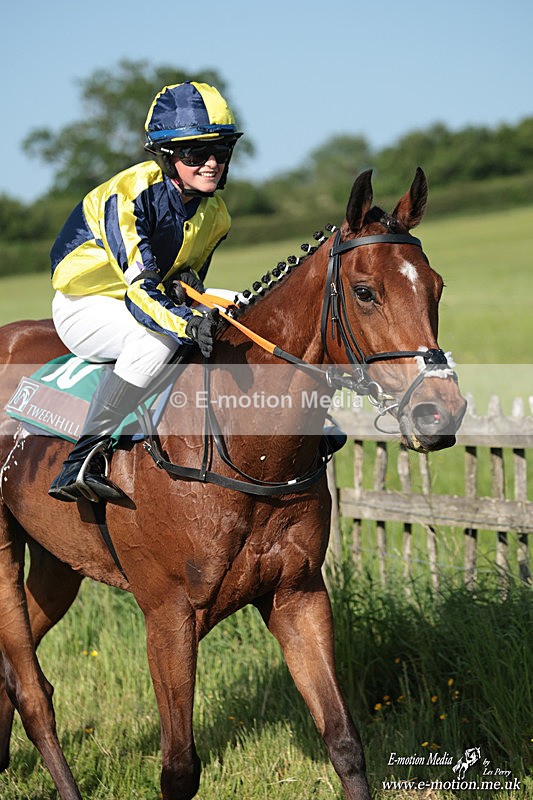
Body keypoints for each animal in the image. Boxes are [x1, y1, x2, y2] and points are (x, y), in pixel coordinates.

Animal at [0, 168, 466, 800]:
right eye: (366, 291)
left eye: (435, 288)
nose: (440, 411)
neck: (249, 452)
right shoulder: (168, 615)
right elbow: (179, 767)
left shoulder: (298, 595)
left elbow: (344, 739)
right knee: (31, 690)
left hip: (59, 563)